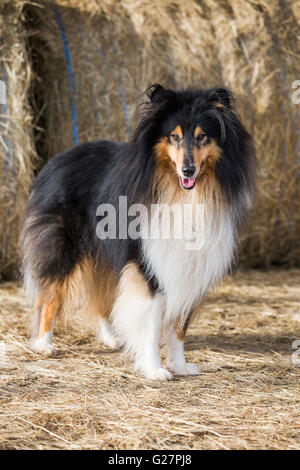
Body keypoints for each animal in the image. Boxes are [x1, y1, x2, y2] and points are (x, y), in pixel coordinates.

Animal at [20, 85, 255, 382]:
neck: (181, 193)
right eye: (174, 136)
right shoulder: (147, 262)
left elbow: (179, 325)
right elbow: (152, 322)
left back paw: (112, 338)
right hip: (63, 248)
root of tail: (56, 159)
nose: (187, 170)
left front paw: (180, 366)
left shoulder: (191, 266)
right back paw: (43, 344)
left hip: (104, 255)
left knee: (101, 299)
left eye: (202, 136)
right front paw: (154, 369)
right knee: (49, 295)